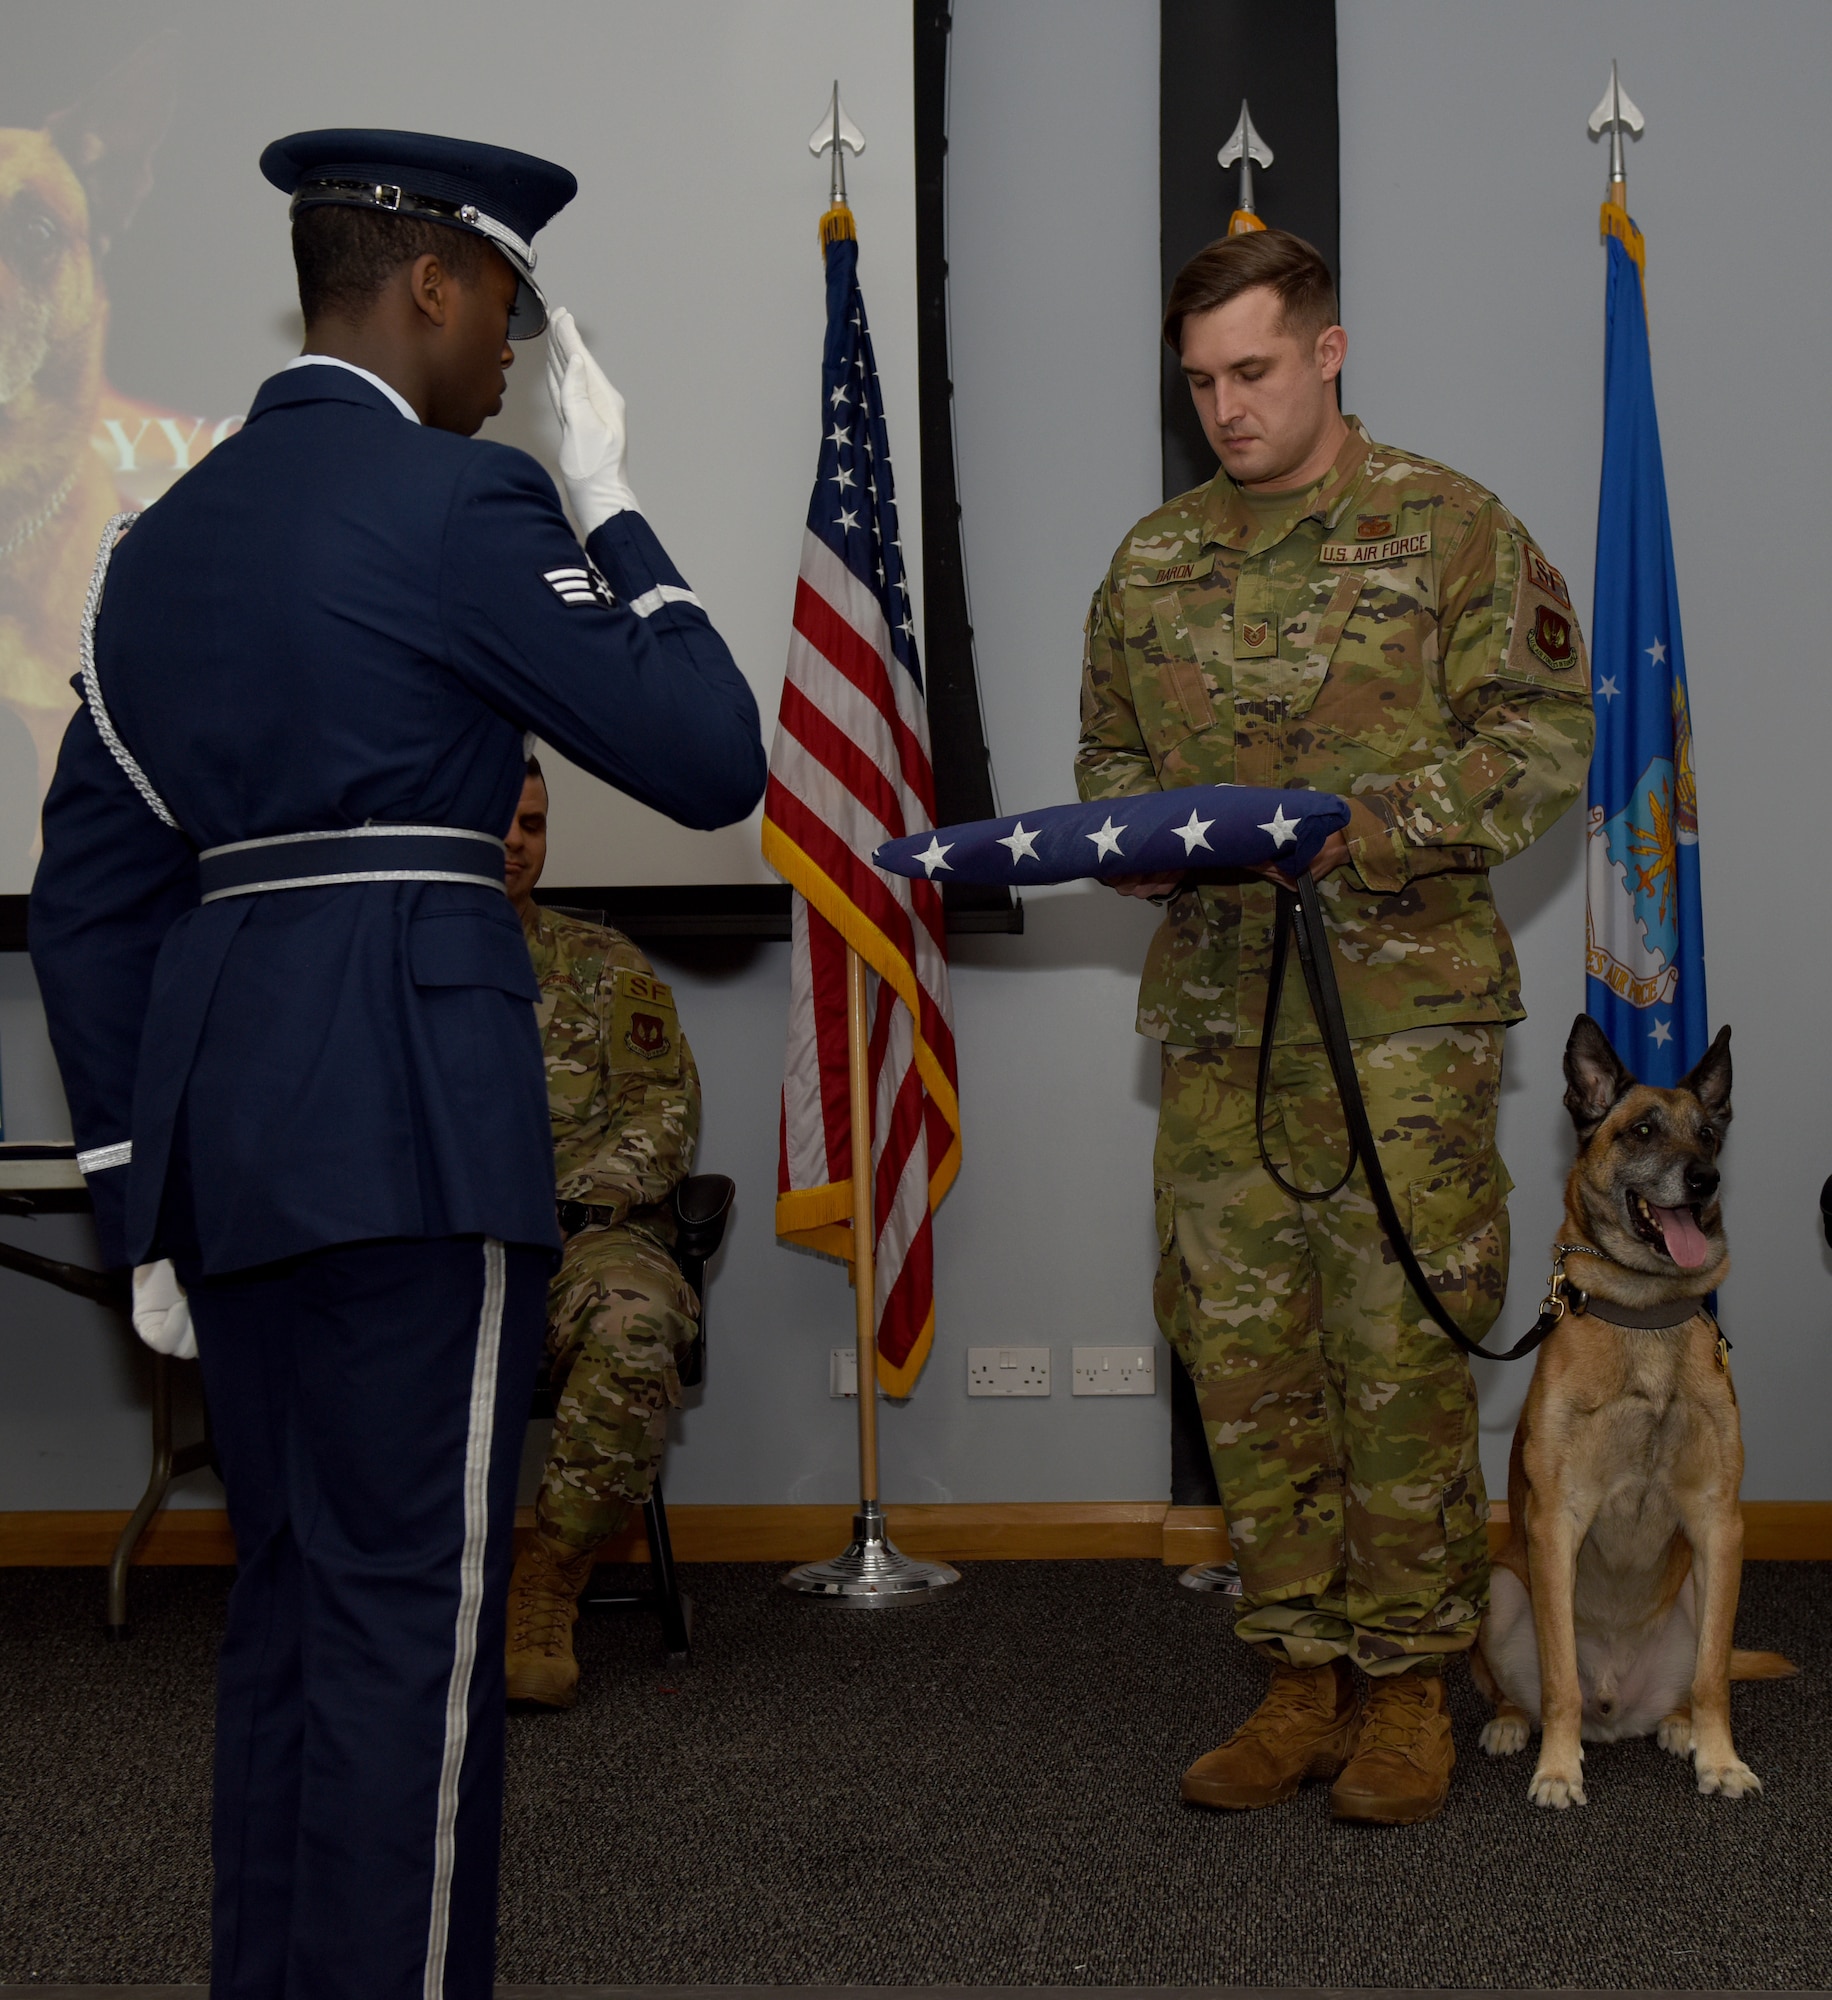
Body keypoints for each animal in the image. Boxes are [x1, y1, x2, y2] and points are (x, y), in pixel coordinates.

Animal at [1464, 1016, 1800, 1816]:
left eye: (1708, 1134)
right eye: (1642, 1129)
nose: (1705, 1180)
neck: (1647, 1316)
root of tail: (1618, 1713)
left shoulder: (1719, 1521)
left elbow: (1713, 1679)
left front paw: (1720, 1759)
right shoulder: (1556, 1521)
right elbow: (1560, 1680)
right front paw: (1558, 1770)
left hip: (1701, 1590)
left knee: (1694, 1679)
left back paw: (1678, 1727)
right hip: (1502, 1588)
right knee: (1525, 1690)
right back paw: (1512, 1724)